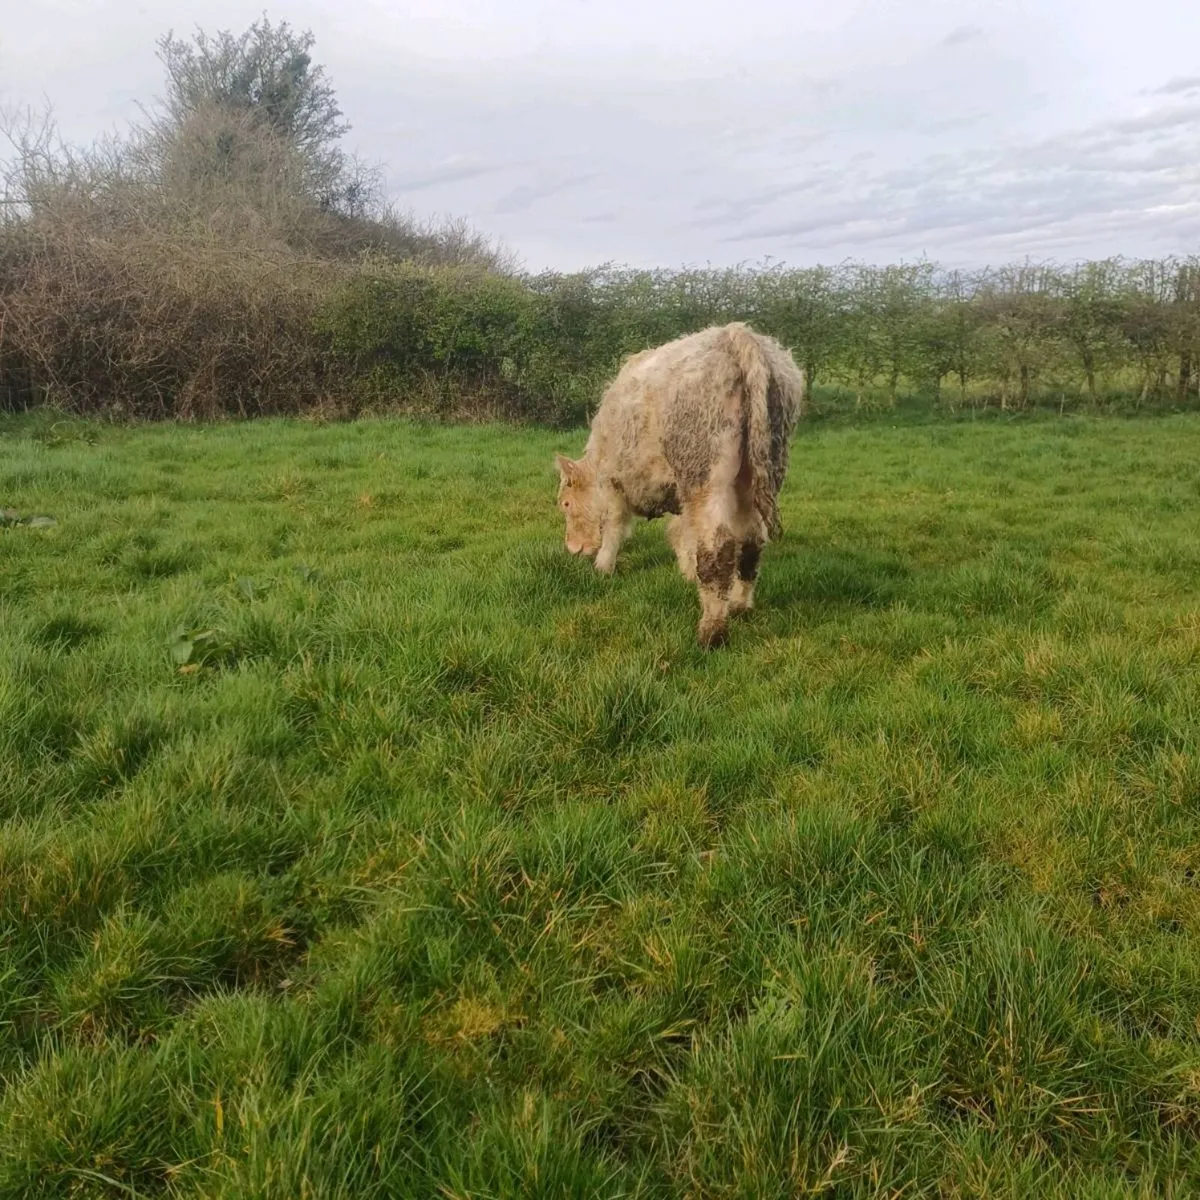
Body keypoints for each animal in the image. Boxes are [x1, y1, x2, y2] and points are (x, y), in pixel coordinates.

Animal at [554, 321, 804, 647]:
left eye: (566, 503)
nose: (572, 548)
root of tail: (735, 334)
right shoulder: (679, 495)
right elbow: (681, 533)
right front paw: (687, 573)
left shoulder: (615, 485)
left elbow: (614, 527)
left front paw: (603, 567)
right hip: (754, 476)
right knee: (751, 542)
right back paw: (739, 606)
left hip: (706, 479)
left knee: (718, 551)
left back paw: (711, 633)